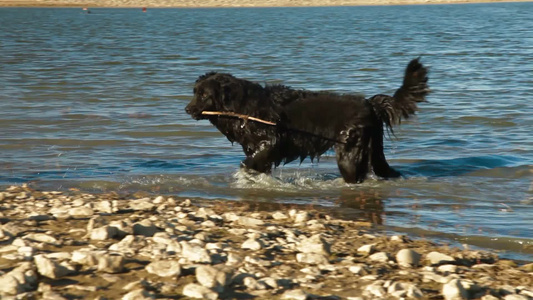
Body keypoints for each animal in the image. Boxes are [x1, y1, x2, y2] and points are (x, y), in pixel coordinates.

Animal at [186, 58, 428, 183]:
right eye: (194, 91)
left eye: (204, 95)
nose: (187, 109)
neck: (240, 106)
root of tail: (370, 103)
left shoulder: (271, 141)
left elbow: (250, 163)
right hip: (375, 150)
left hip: (349, 154)